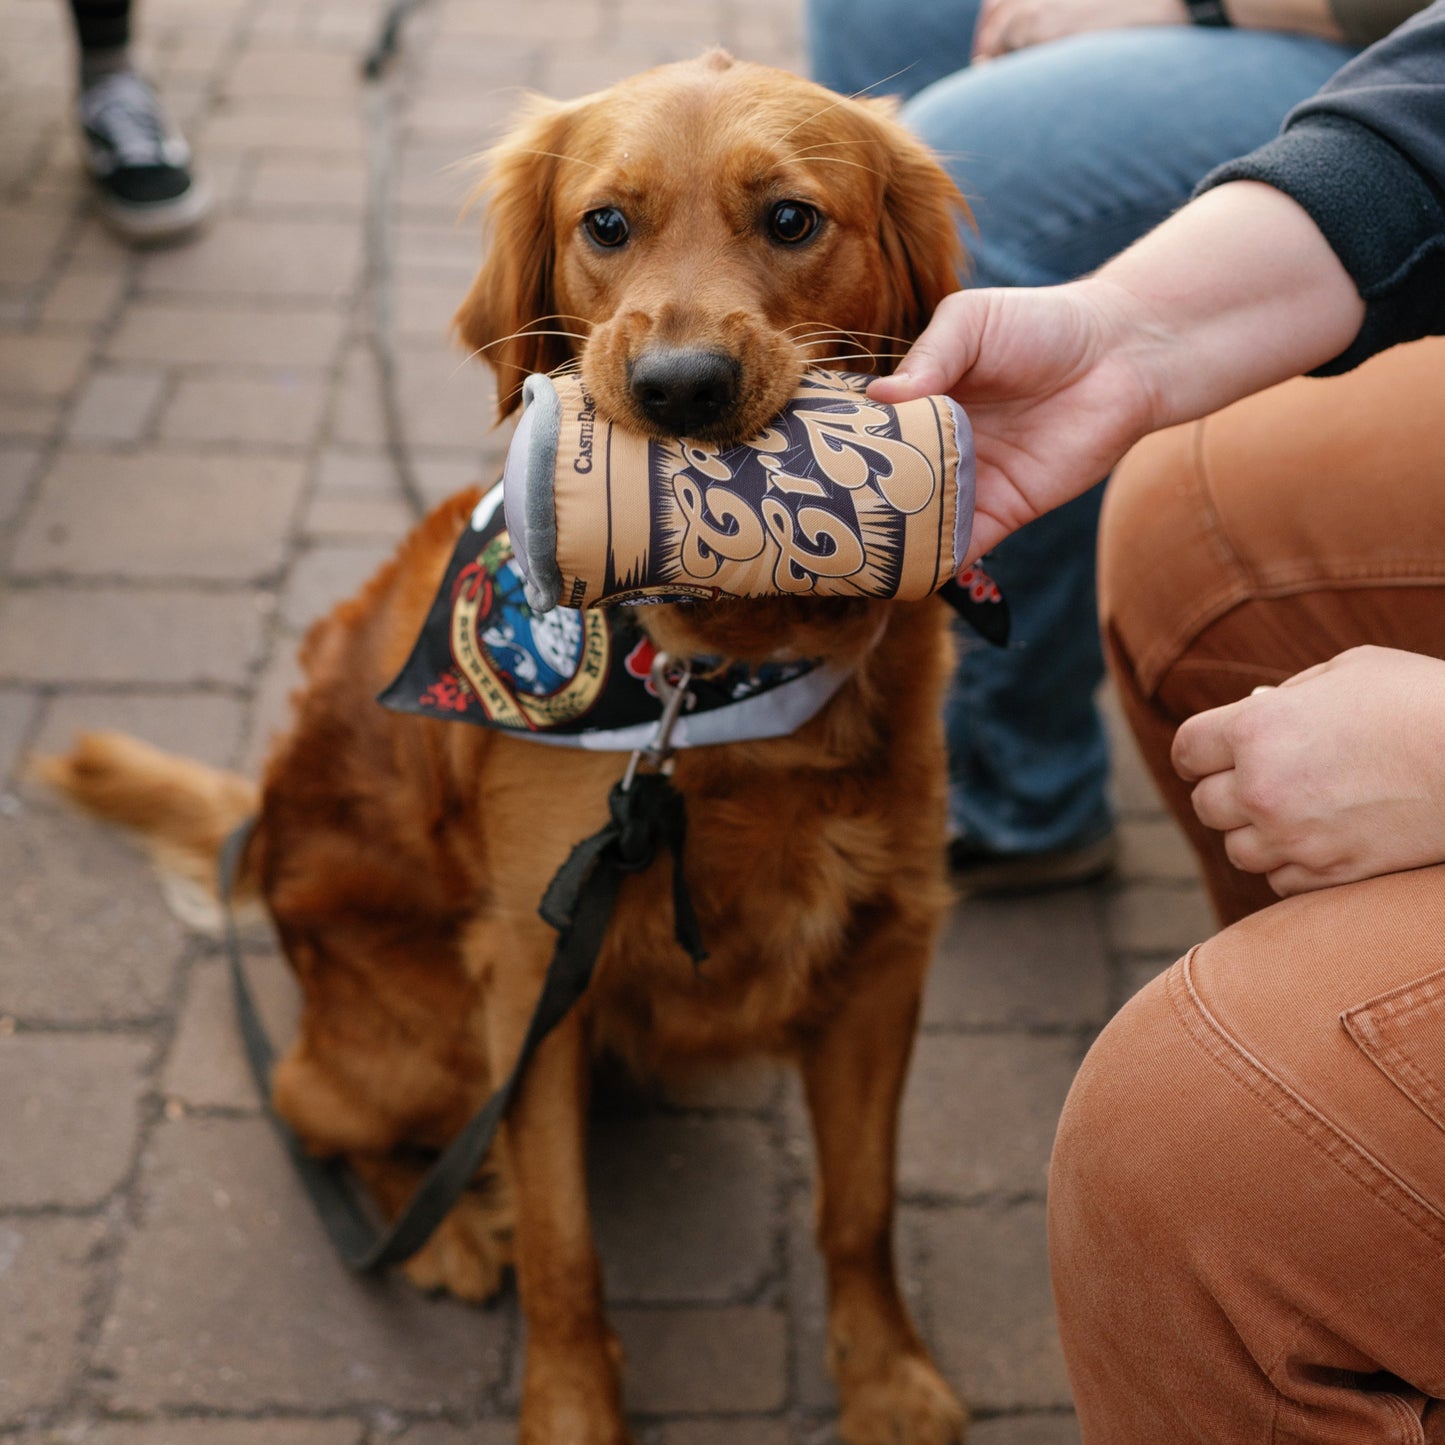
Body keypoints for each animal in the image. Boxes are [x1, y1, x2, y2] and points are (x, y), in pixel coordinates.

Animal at [42, 50, 971, 1439]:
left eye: (791, 219)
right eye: (606, 224)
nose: (678, 386)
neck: (703, 671)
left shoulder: (883, 943)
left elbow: (859, 1208)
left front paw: (887, 1378)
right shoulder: (535, 967)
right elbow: (559, 1242)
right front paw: (572, 1405)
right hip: (420, 1040)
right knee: (311, 1103)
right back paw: (435, 1233)